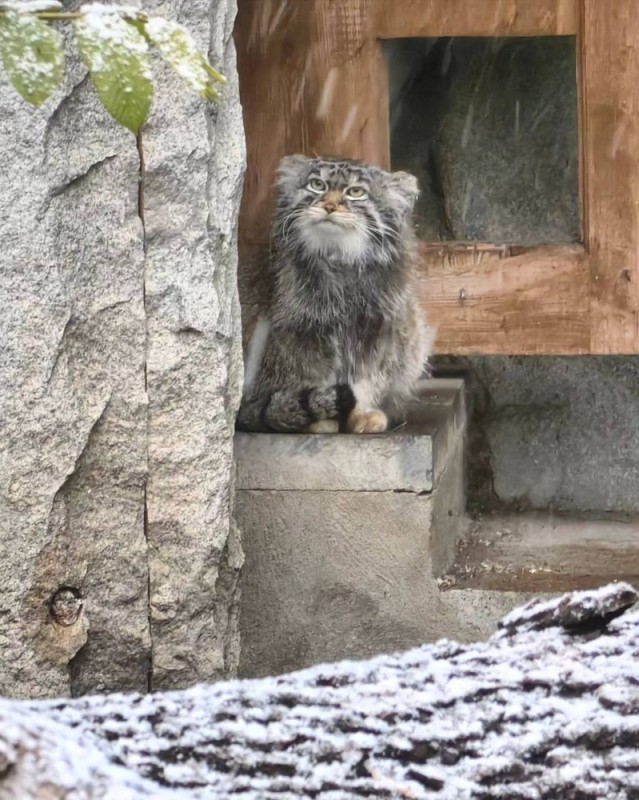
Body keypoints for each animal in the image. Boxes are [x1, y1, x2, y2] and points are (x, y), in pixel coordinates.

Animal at [238, 154, 432, 434]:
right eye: (317, 185)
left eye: (356, 192)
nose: (329, 206)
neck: (338, 258)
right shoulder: (299, 333)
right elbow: (308, 374)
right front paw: (320, 417)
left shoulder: (373, 330)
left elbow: (364, 377)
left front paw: (361, 413)